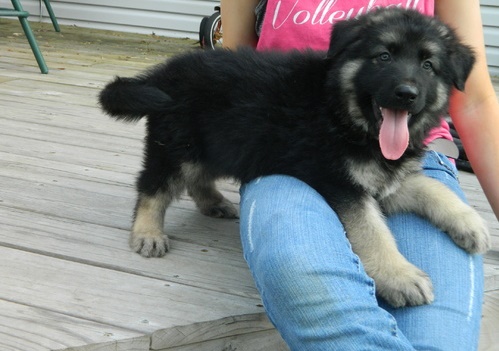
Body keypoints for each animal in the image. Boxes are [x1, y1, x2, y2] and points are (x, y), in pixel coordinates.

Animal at [99, 6, 490, 306]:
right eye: (384, 57)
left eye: (428, 65)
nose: (406, 93)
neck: (341, 112)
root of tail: (165, 71)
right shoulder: (340, 181)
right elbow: (372, 231)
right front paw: (399, 276)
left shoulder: (384, 181)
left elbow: (433, 189)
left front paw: (470, 223)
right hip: (178, 144)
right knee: (154, 185)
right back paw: (148, 231)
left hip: (215, 142)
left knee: (198, 178)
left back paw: (213, 203)